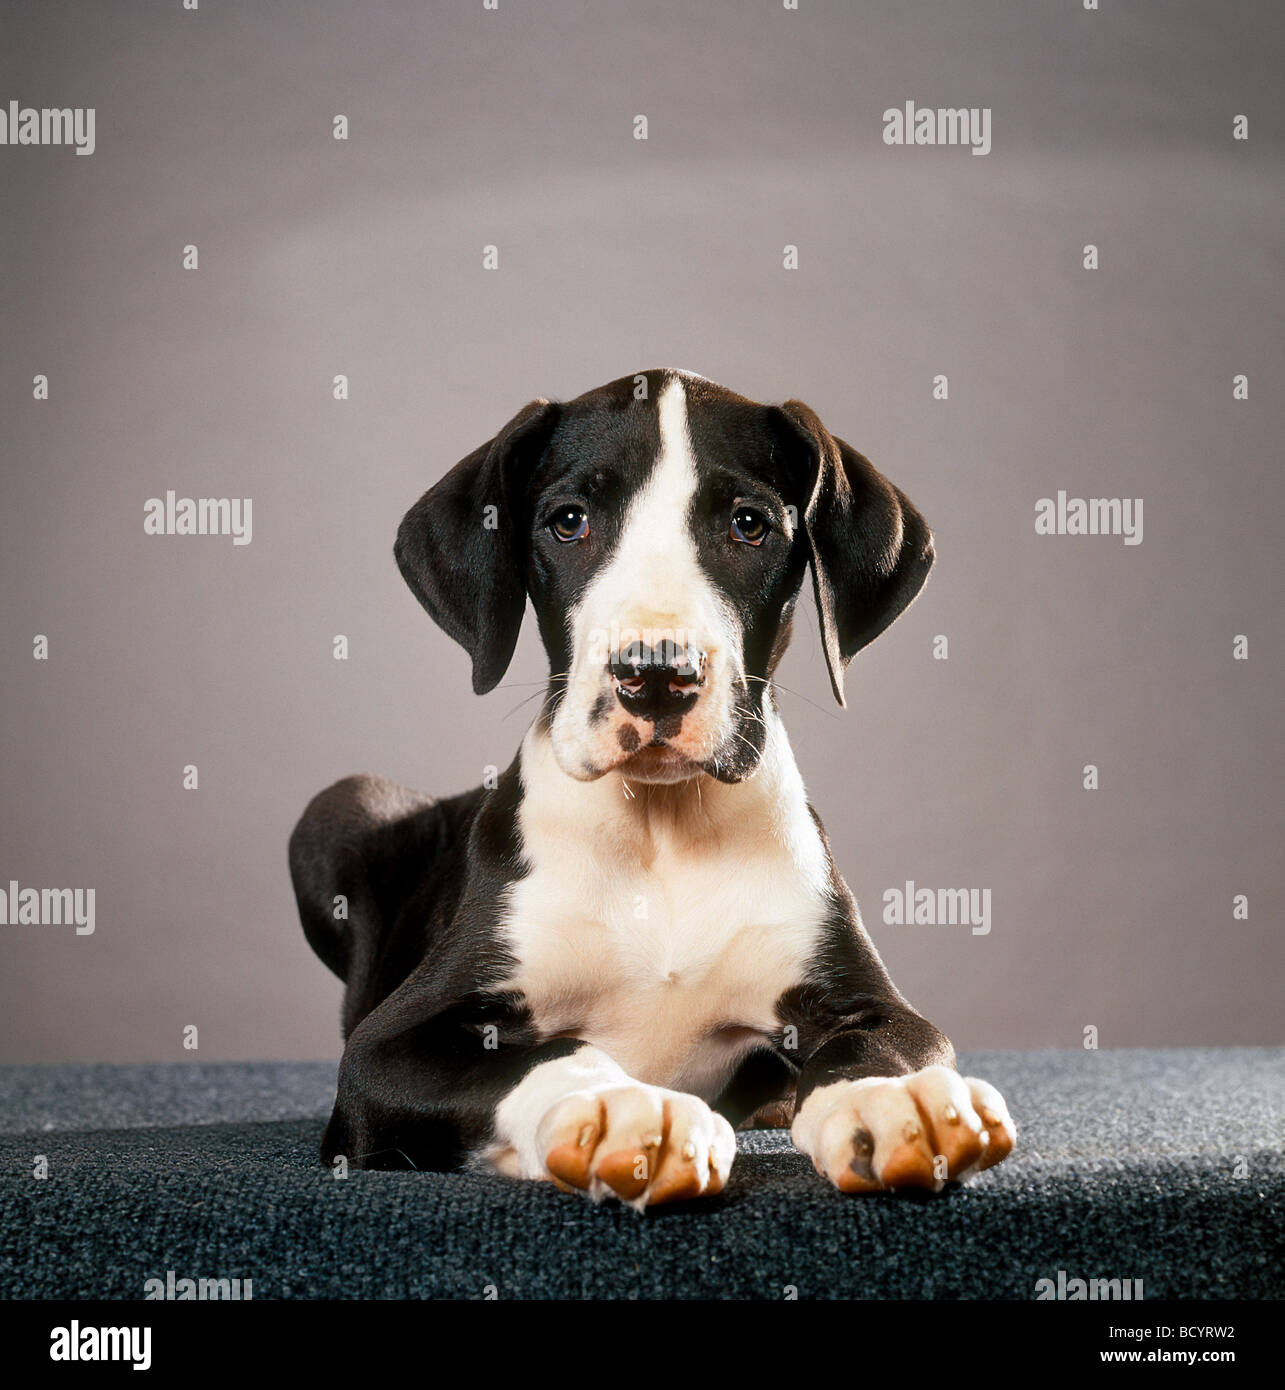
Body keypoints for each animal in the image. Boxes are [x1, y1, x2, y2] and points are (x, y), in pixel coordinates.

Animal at [290, 369, 1012, 1206]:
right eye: (568, 522)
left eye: (748, 525)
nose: (657, 674)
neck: (658, 829)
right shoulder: (386, 1050)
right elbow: (542, 1055)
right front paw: (618, 1110)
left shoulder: (874, 1002)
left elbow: (883, 1044)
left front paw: (891, 1098)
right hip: (341, 804)